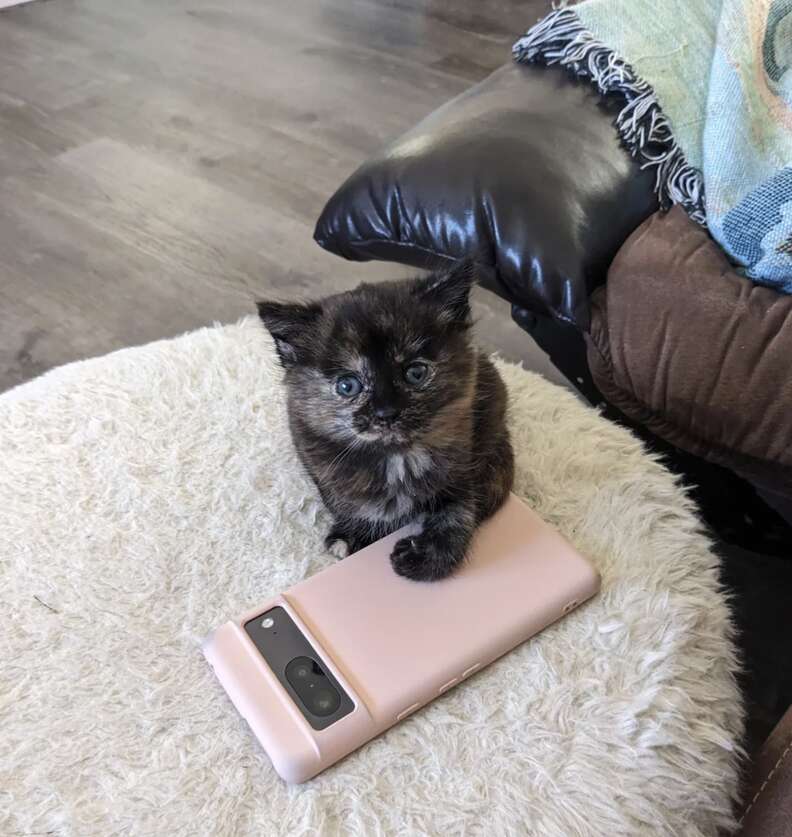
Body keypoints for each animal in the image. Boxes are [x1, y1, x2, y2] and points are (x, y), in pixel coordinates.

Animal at [257, 261, 514, 581]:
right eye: (347, 386)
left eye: (416, 373)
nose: (386, 412)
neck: (396, 458)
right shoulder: (312, 451)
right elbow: (341, 499)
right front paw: (354, 534)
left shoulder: (466, 457)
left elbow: (460, 509)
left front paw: (428, 556)